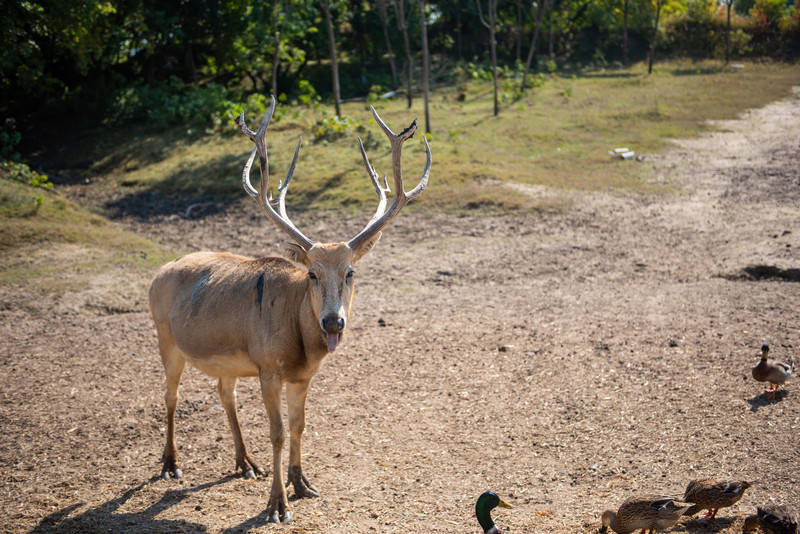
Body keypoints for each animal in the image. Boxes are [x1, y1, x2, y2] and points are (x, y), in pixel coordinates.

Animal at [146, 96, 428, 524]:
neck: (300, 344)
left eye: (350, 272)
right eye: (311, 273)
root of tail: (157, 273)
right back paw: (170, 464)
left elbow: (299, 426)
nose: (333, 321)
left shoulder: (302, 376)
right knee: (170, 395)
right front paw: (277, 505)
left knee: (223, 390)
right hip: (166, 336)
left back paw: (245, 463)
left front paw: (302, 484)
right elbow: (277, 432)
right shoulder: (268, 367)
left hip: (225, 358)